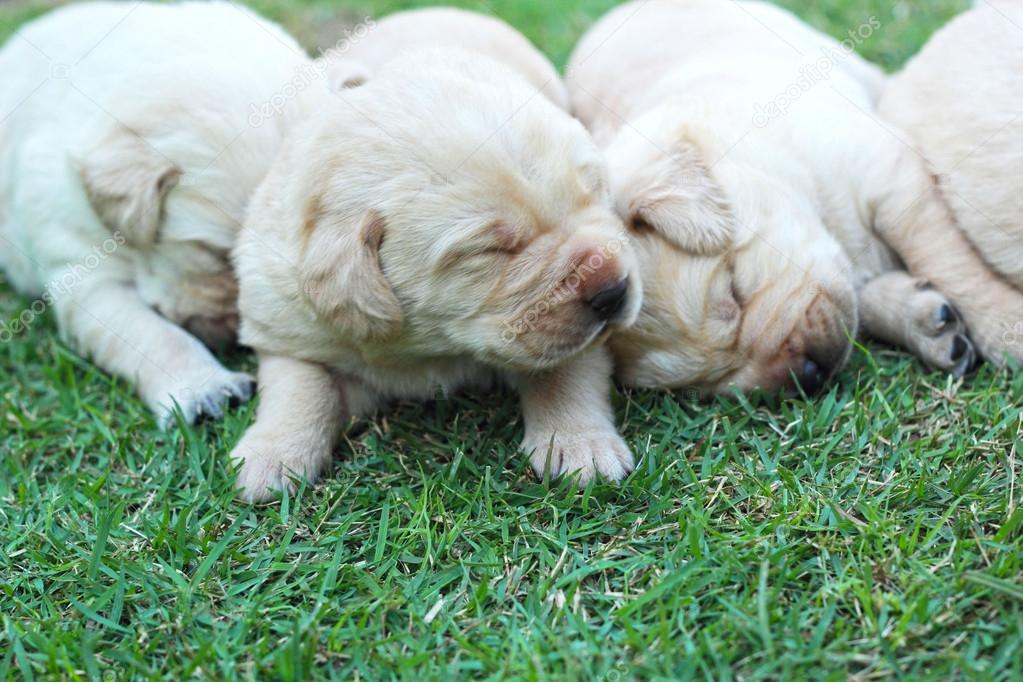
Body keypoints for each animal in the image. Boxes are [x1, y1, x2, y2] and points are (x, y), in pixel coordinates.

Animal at [232, 9, 638, 501]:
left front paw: (581, 446)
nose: (614, 291)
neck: (428, 347)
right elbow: (299, 385)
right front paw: (271, 456)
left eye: (595, 191)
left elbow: (566, 370)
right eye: (491, 249)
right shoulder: (284, 323)